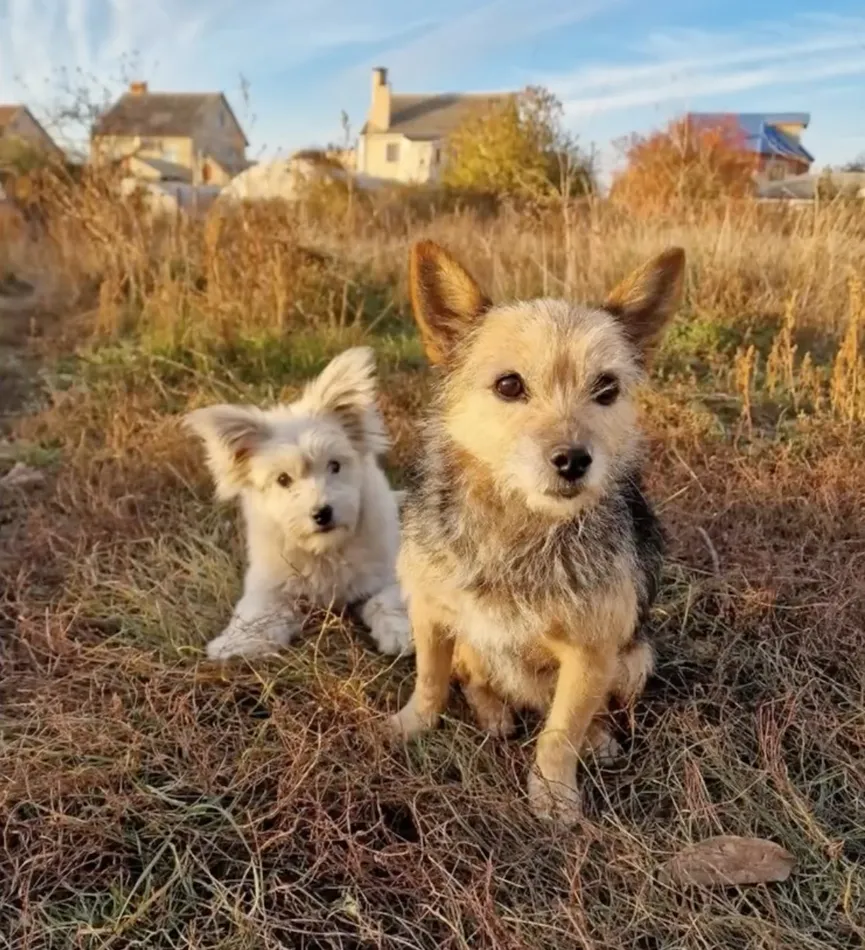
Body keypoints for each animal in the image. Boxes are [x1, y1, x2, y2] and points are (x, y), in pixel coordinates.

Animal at [182, 348, 412, 660]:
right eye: (283, 479)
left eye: (334, 465)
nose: (322, 513)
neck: (324, 550)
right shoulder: (269, 584)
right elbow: (257, 613)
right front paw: (235, 642)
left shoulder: (389, 569)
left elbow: (387, 600)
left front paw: (401, 634)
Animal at [390, 240, 680, 824]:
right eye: (508, 385)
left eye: (607, 388)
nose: (573, 460)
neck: (517, 528)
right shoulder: (430, 613)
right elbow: (431, 678)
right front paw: (413, 724)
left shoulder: (592, 653)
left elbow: (560, 733)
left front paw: (553, 793)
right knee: (474, 676)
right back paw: (495, 713)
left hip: (636, 658)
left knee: (582, 711)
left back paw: (597, 736)